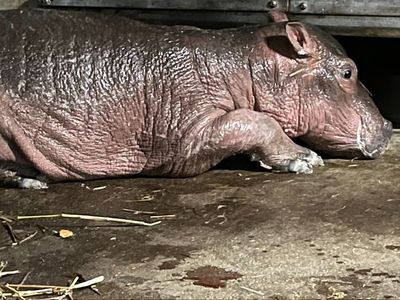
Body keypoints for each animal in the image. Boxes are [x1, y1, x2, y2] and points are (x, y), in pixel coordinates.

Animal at [0, 8, 392, 188]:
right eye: (348, 72)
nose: (389, 126)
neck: (246, 64)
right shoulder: (186, 129)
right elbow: (254, 120)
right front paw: (306, 160)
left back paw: (32, 179)